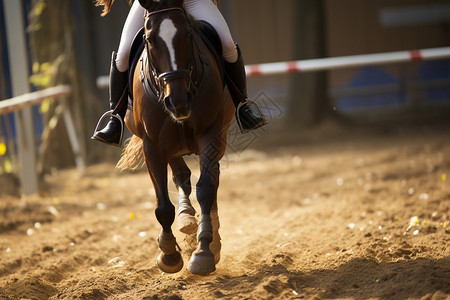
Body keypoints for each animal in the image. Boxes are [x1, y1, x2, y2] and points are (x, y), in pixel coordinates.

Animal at [117, 0, 236, 276]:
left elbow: (206, 188)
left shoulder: (210, 134)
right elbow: (162, 204)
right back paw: (186, 218)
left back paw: (208, 235)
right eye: (150, 39)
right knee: (180, 175)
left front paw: (204, 251)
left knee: (210, 180)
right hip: (169, 146)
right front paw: (169, 253)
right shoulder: (152, 144)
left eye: (187, 34)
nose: (178, 101)